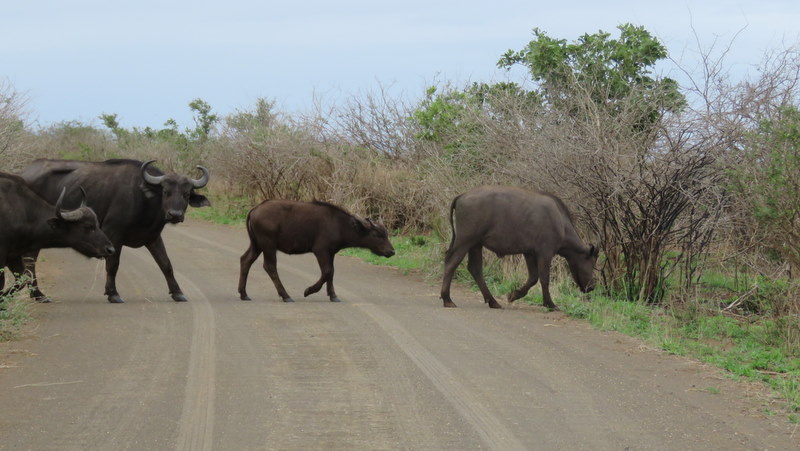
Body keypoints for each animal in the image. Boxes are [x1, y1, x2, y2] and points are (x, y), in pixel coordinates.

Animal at [18, 159, 210, 303]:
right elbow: (113, 265)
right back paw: (38, 295)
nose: (175, 215)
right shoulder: (113, 235)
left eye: (186, 194)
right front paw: (113, 294)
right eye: (166, 191)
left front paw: (178, 292)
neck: (144, 199)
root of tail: (24, 174)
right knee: (30, 261)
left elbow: (166, 264)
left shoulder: (153, 237)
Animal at [238, 200, 395, 303]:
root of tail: (255, 209)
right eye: (377, 235)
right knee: (270, 266)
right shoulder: (320, 250)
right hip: (268, 246)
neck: (339, 225)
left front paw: (333, 296)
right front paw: (309, 291)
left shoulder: (331, 253)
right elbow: (326, 272)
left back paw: (244, 294)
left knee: (245, 260)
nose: (392, 251)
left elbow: (331, 272)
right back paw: (286, 296)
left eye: (386, 234)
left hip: (256, 245)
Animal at [440, 186, 598, 310]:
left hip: (476, 245)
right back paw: (447, 299)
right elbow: (544, 278)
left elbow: (533, 278)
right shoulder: (545, 253)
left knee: (475, 269)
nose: (591, 287)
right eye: (592, 263)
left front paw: (513, 295)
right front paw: (550, 303)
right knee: (451, 263)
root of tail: (462, 195)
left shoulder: (529, 253)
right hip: (465, 241)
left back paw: (493, 301)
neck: (560, 223)